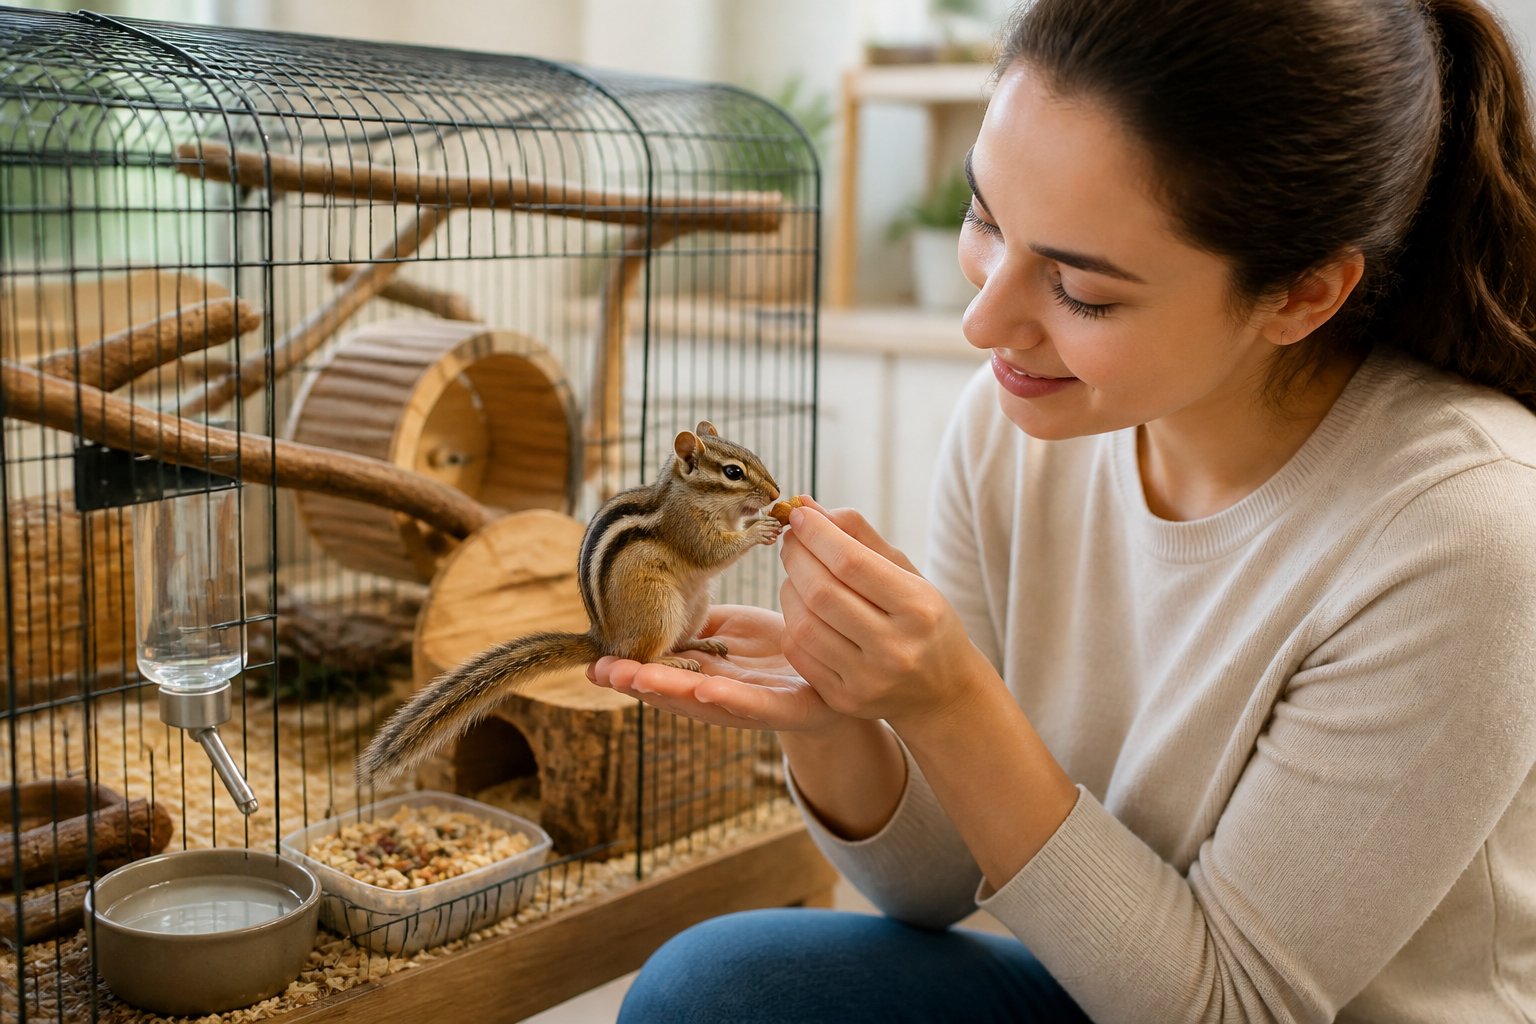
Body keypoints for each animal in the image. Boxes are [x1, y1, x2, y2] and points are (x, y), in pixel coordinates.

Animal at [357, 420, 784, 783]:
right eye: (733, 473)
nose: (777, 493)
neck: (691, 496)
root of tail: (602, 638)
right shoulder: (688, 528)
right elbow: (713, 552)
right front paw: (759, 529)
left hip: (696, 604)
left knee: (679, 638)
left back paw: (700, 643)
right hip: (659, 606)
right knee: (638, 655)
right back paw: (669, 661)